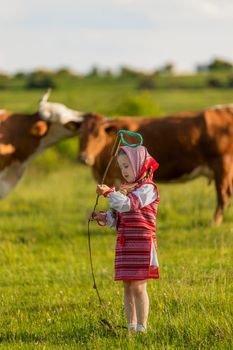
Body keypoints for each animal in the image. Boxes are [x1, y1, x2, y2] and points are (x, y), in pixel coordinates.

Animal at [78, 104, 233, 224]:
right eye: (80, 134)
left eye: (98, 135)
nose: (83, 157)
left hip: (222, 164)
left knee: (223, 194)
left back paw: (215, 222)